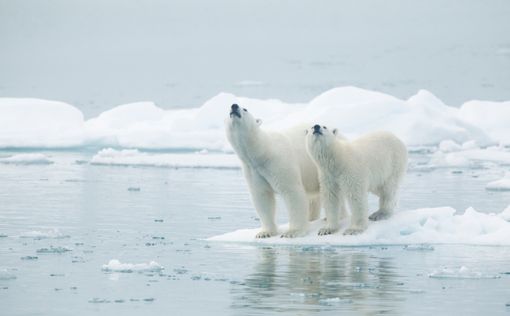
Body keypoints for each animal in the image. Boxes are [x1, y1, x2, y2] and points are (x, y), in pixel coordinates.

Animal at [226, 103, 320, 237]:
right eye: (227, 109)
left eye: (245, 109)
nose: (234, 106)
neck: (264, 152)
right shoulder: (253, 170)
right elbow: (262, 197)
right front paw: (265, 233)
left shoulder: (279, 163)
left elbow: (292, 192)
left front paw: (292, 232)